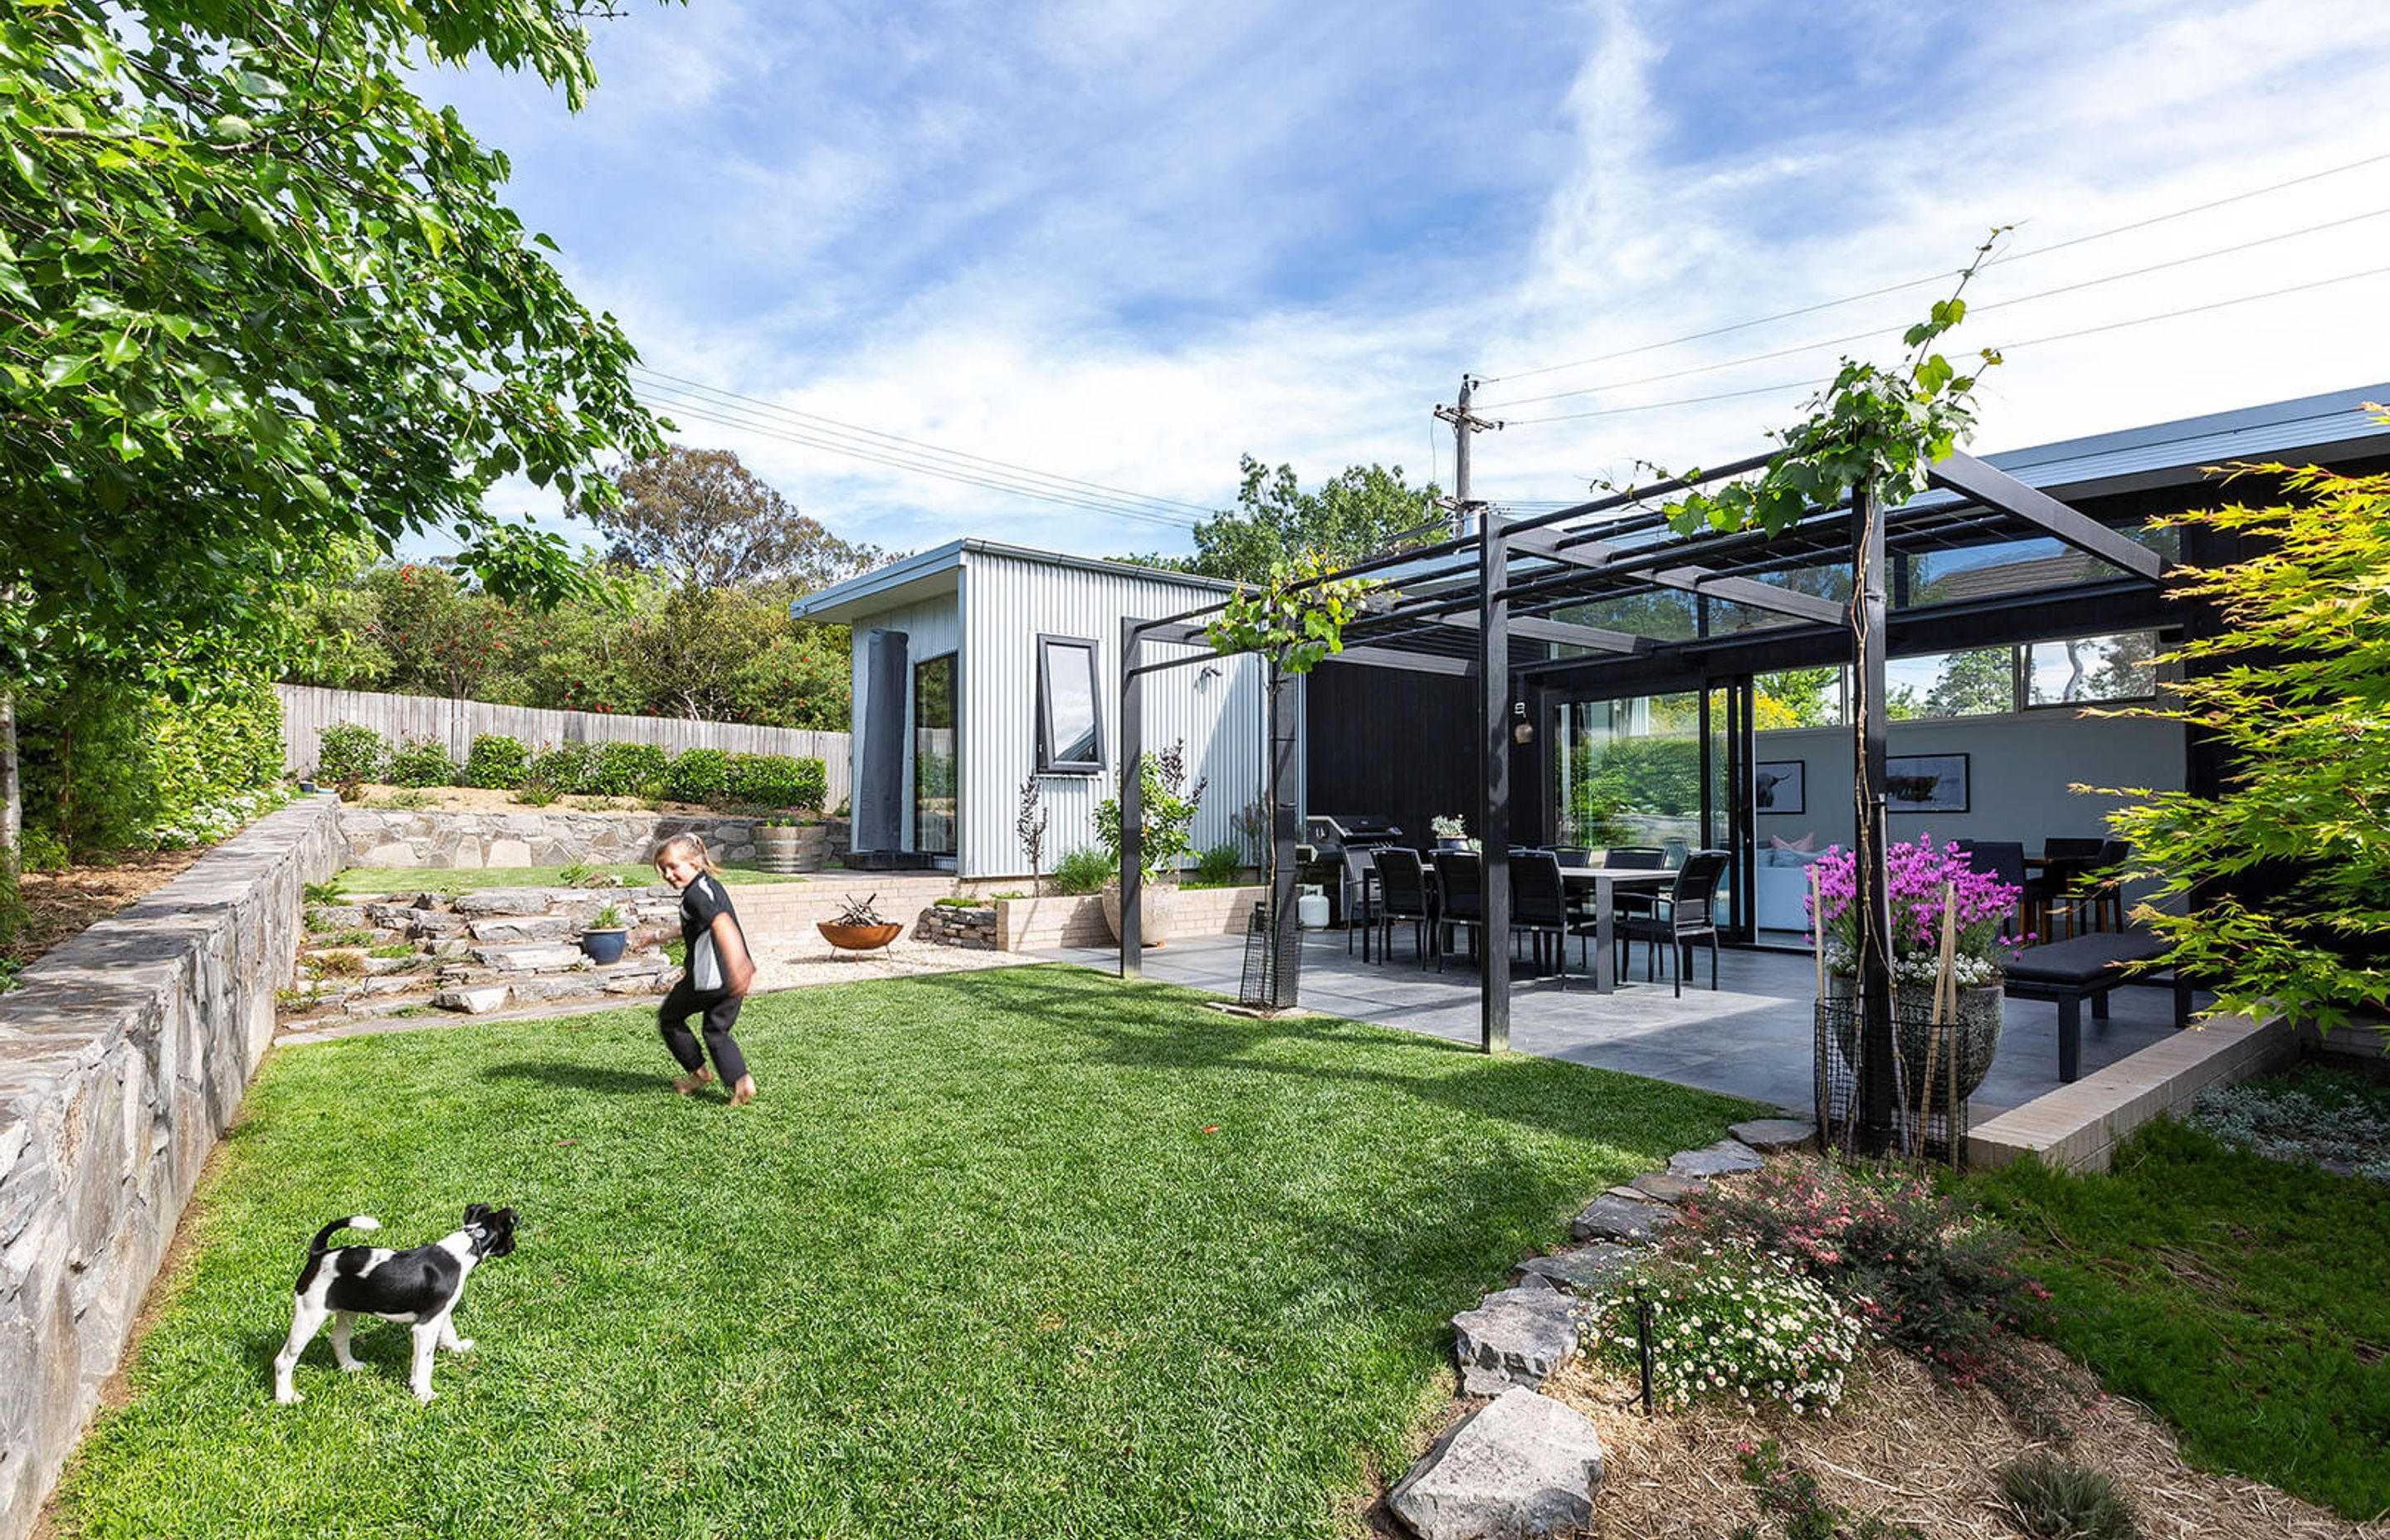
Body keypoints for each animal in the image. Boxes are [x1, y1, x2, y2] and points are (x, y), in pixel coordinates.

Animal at [275, 1205, 518, 1406]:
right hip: (310, 1314)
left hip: (347, 1310)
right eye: (511, 1232)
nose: (514, 1246)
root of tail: (319, 1254)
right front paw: (424, 1394)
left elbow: (449, 1332)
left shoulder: (439, 1312)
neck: (465, 1247)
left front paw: (457, 1348)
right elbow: (425, 1363)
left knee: (338, 1339)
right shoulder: (425, 1327)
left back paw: (350, 1366)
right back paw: (286, 1398)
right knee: (283, 1361)